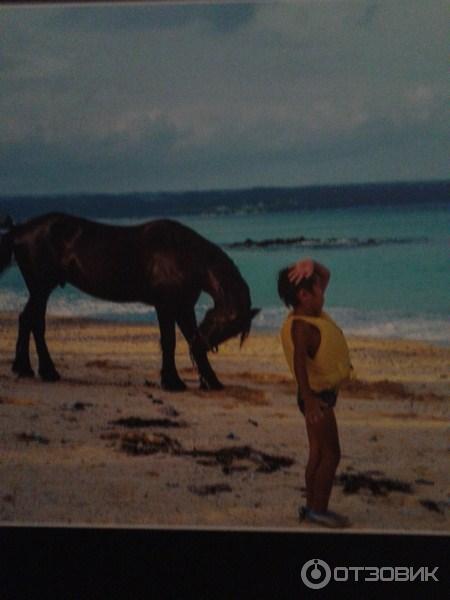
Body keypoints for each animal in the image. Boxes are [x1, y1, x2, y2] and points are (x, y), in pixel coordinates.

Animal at [0, 213, 260, 392]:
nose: (201, 345)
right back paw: (41, 370)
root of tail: (19, 229)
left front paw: (212, 381)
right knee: (32, 321)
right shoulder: (165, 306)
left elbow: (186, 335)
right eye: (223, 322)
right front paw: (172, 382)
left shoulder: (184, 307)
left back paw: (31, 369)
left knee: (30, 321)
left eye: (231, 330)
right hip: (41, 288)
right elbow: (169, 342)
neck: (184, 254)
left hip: (41, 290)